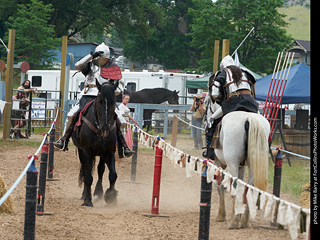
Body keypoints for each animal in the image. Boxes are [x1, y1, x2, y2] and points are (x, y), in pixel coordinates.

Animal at [205, 71, 270, 229]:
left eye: (207, 103)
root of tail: (248, 118)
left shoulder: (219, 163)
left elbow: (220, 187)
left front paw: (221, 215)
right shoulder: (243, 166)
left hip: (232, 162)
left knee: (235, 185)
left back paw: (234, 221)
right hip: (252, 163)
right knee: (249, 187)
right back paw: (244, 220)